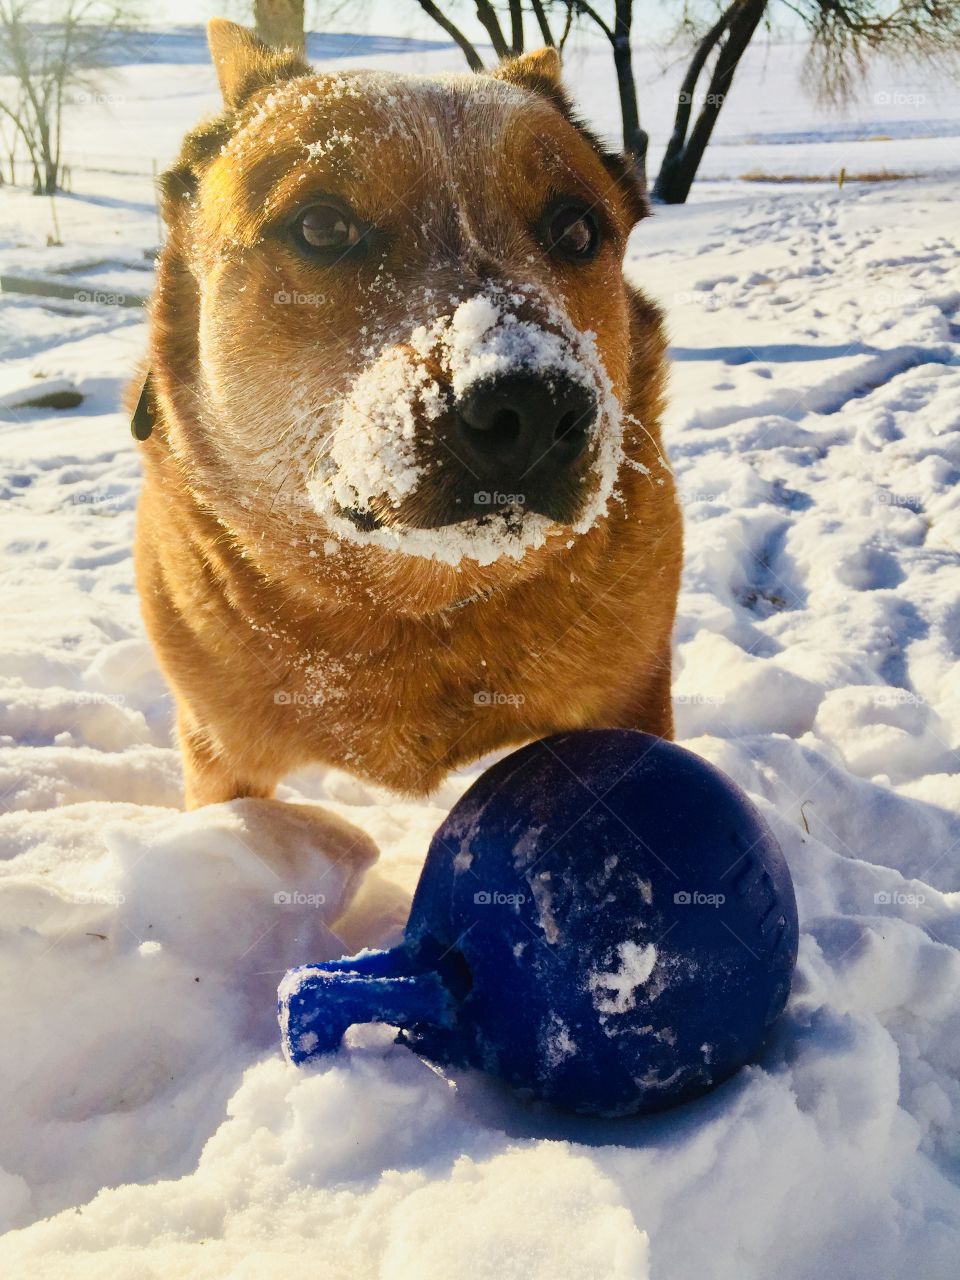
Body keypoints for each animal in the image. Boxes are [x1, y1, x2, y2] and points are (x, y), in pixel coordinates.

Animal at [136, 20, 686, 808]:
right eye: (322, 226)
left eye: (577, 230)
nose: (534, 404)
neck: (417, 606)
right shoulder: (219, 753)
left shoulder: (635, 690)